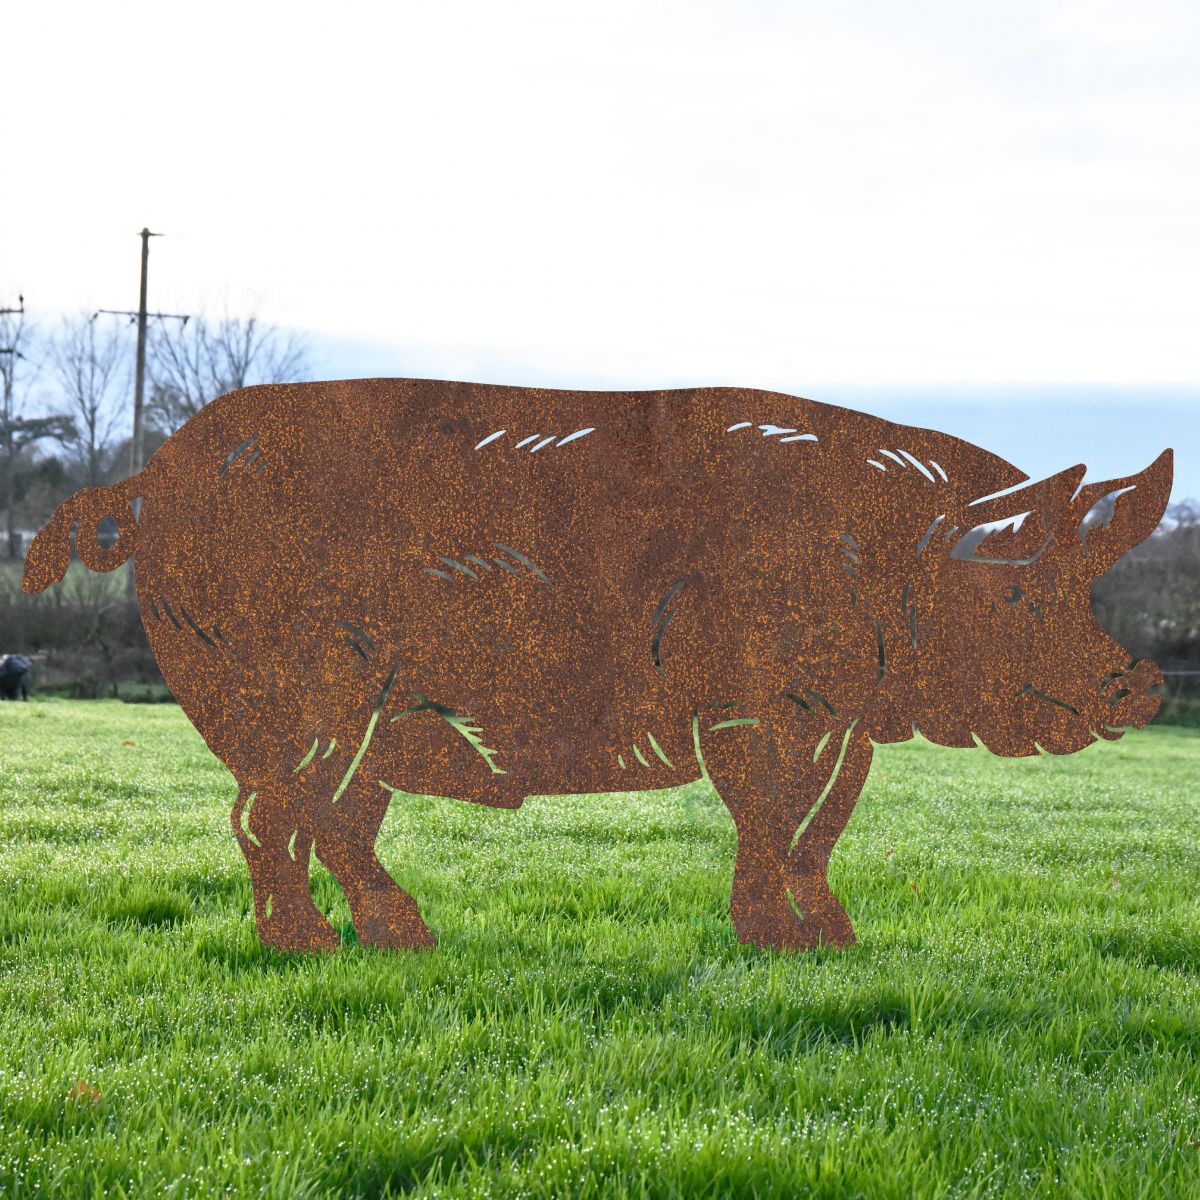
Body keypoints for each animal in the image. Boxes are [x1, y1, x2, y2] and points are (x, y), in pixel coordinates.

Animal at [22, 379, 1172, 953]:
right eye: (1022, 592)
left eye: (1081, 589)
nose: (1145, 682)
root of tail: (150, 481)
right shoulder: (751, 703)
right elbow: (767, 817)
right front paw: (779, 944)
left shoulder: (844, 721)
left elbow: (819, 829)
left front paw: (837, 943)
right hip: (309, 689)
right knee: (273, 816)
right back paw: (318, 948)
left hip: (364, 716)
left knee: (326, 821)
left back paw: (390, 941)